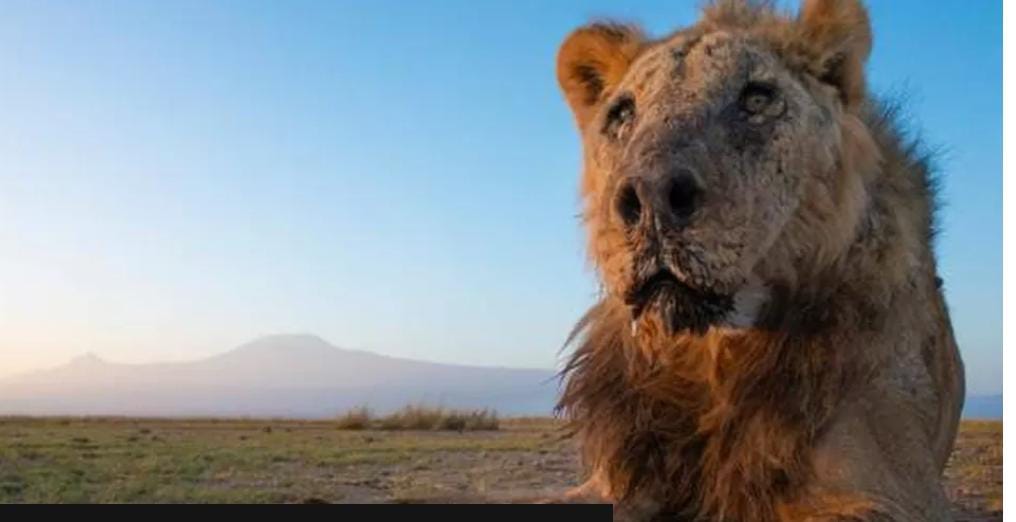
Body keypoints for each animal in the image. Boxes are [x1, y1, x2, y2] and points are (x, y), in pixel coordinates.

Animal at [556, 1, 959, 519]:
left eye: (757, 99)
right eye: (622, 113)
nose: (650, 197)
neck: (711, 357)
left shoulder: (896, 488)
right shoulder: (614, 480)